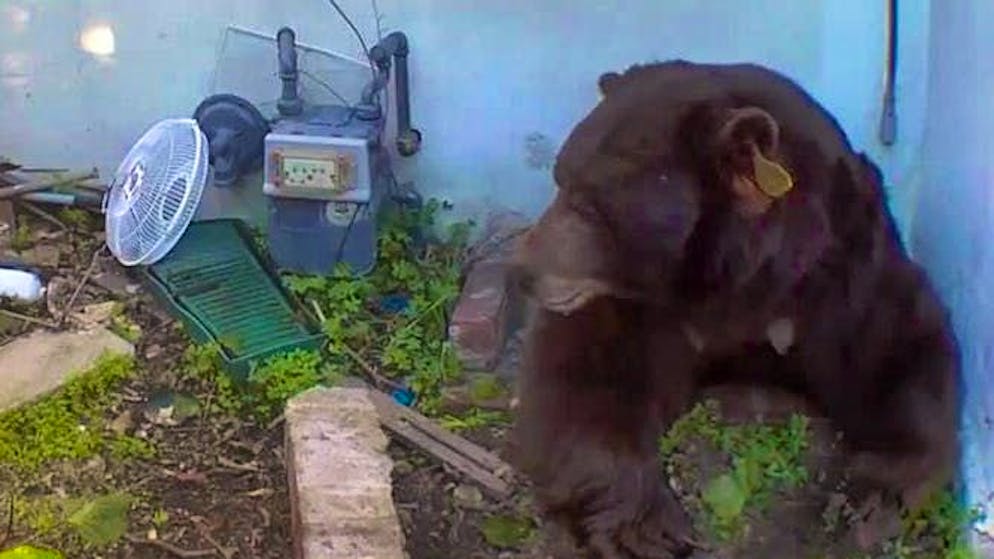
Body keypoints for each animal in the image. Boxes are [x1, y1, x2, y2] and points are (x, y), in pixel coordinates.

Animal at [508, 60, 960, 559]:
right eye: (560, 179)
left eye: (588, 203)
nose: (522, 268)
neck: (741, 287)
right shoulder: (643, 309)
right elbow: (587, 373)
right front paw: (646, 527)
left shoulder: (842, 286)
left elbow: (900, 355)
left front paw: (865, 502)